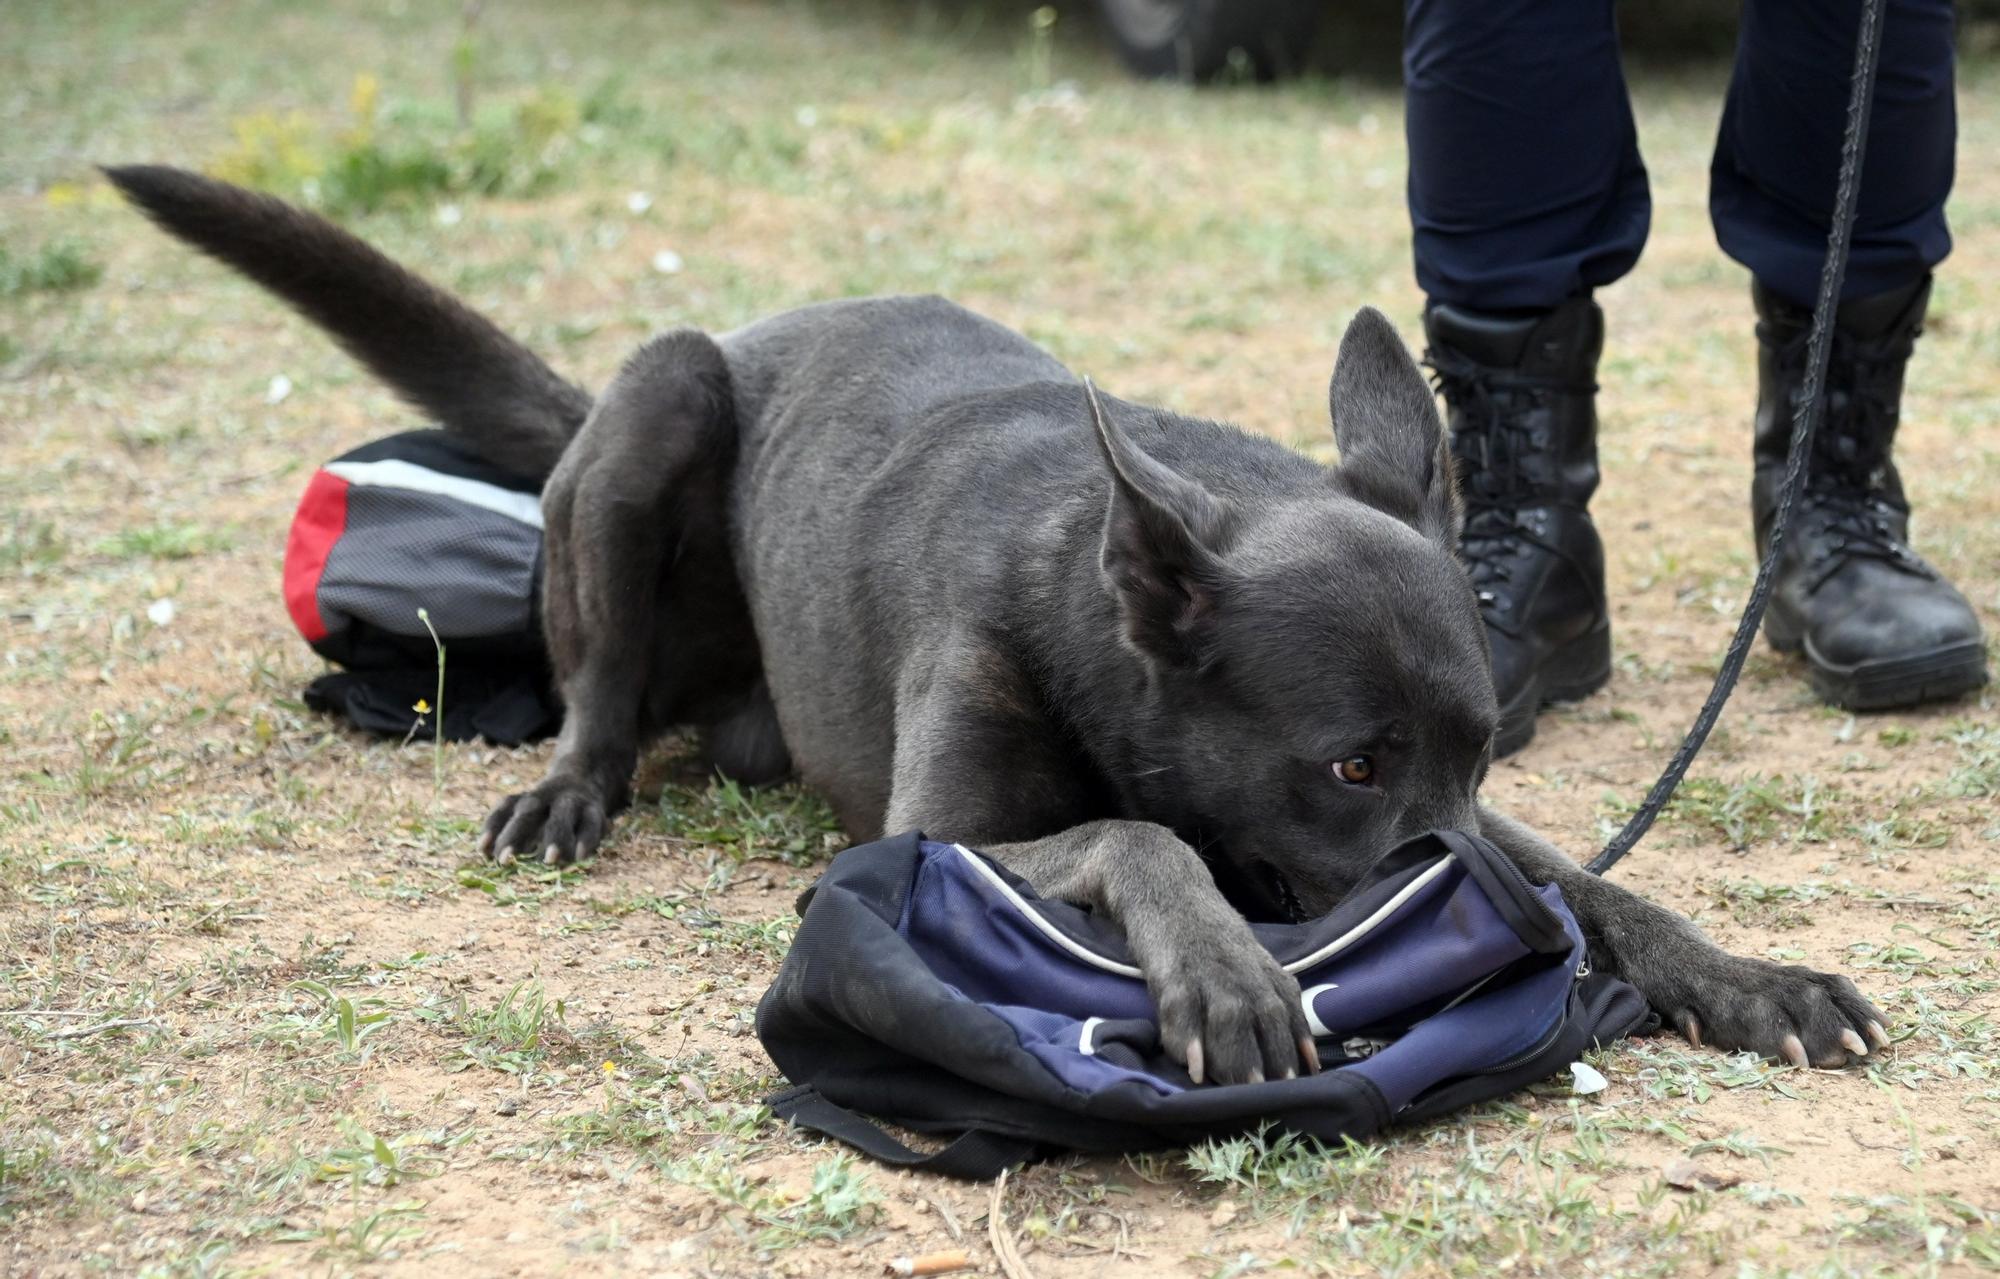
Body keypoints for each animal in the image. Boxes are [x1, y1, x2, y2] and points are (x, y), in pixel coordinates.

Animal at [109, 164, 1888, 1087]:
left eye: (1481, 748)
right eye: (1348, 765)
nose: (1525, 943)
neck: (1094, 607)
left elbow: (1604, 868)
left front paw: (1743, 972)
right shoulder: (929, 835)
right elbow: (1135, 832)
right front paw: (1224, 968)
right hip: (661, 403)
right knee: (597, 691)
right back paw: (565, 786)